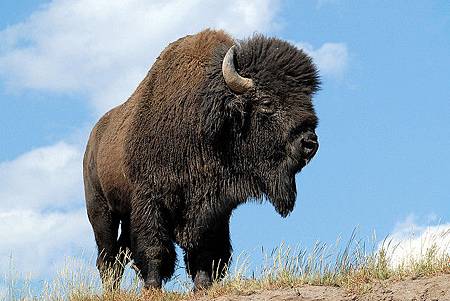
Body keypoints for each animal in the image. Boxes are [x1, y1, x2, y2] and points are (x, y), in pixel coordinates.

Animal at [82, 29, 318, 290]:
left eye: (307, 100)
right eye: (266, 102)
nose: (310, 143)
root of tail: (93, 139)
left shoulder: (215, 206)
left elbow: (206, 246)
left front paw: (202, 285)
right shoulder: (150, 197)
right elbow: (154, 245)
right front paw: (153, 286)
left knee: (121, 253)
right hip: (101, 211)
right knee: (108, 256)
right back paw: (111, 289)